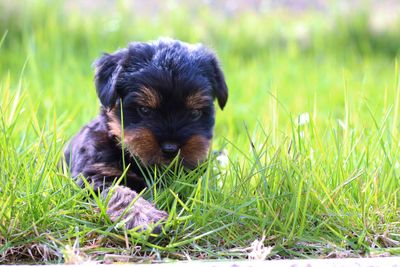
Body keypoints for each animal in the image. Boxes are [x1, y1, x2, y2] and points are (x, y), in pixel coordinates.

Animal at [65, 38, 228, 232]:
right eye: (144, 110)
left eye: (195, 113)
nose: (170, 148)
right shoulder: (95, 175)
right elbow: (121, 193)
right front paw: (145, 217)